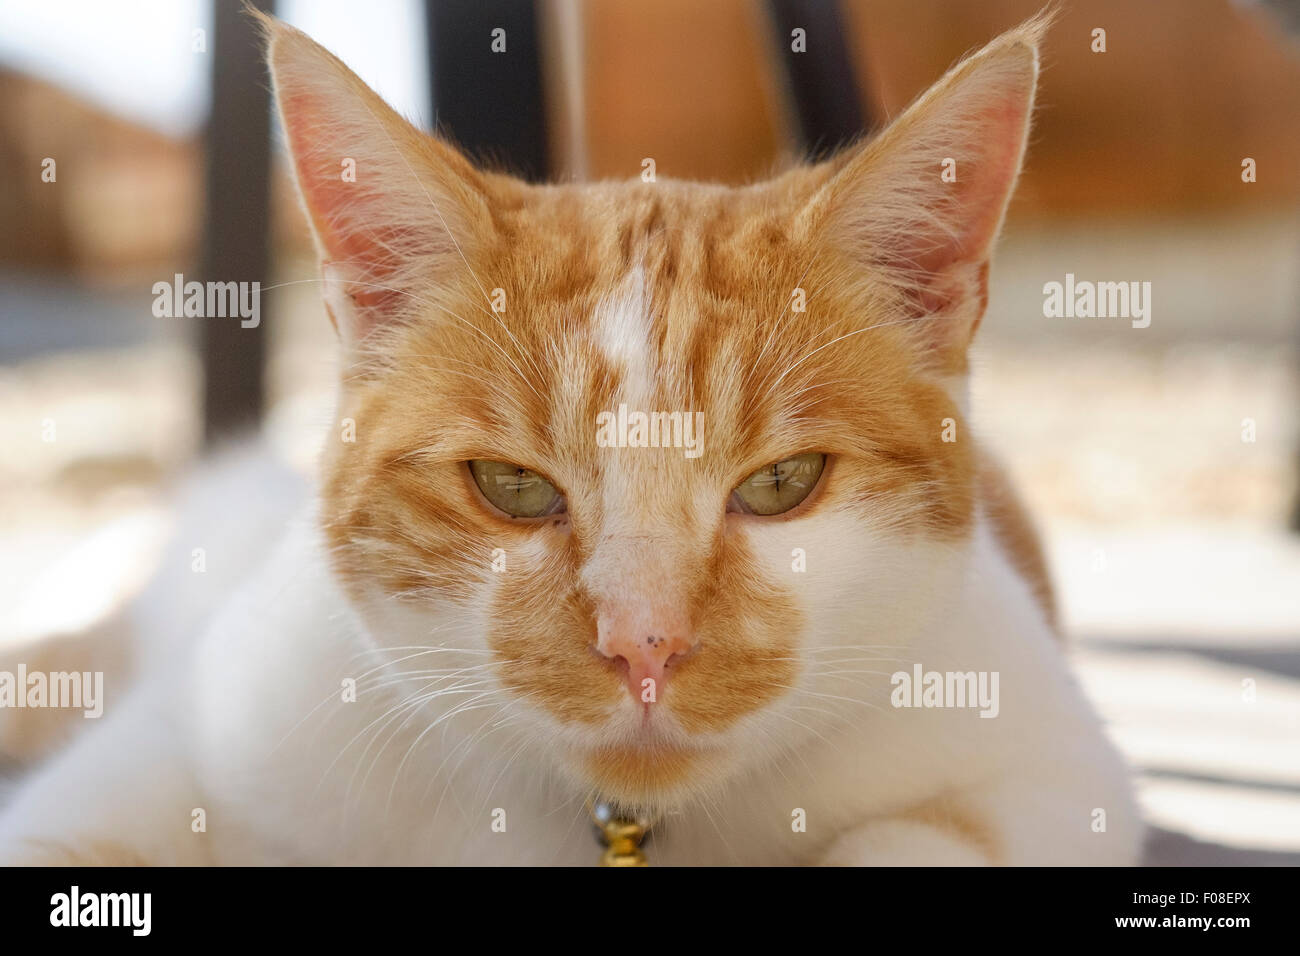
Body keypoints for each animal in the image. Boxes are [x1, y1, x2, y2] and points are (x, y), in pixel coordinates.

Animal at [0, 11, 1138, 868]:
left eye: (783, 482)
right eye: (510, 485)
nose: (645, 644)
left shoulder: (1052, 774)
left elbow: (915, 839)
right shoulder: (195, 740)